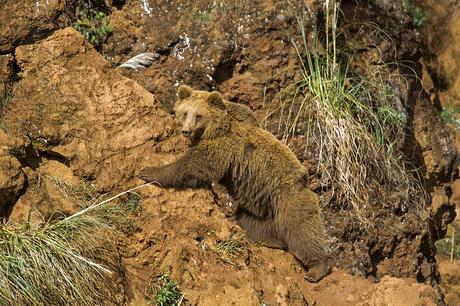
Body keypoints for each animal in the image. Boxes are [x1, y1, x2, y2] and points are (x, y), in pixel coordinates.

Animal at [140, 85, 330, 280]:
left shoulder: (222, 147)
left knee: (301, 228)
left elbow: (194, 165)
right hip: (260, 205)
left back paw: (316, 269)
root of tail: (306, 180)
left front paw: (149, 172)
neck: (217, 128)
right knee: (252, 222)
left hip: (288, 197)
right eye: (185, 113)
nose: (186, 130)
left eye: (198, 115)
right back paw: (271, 241)